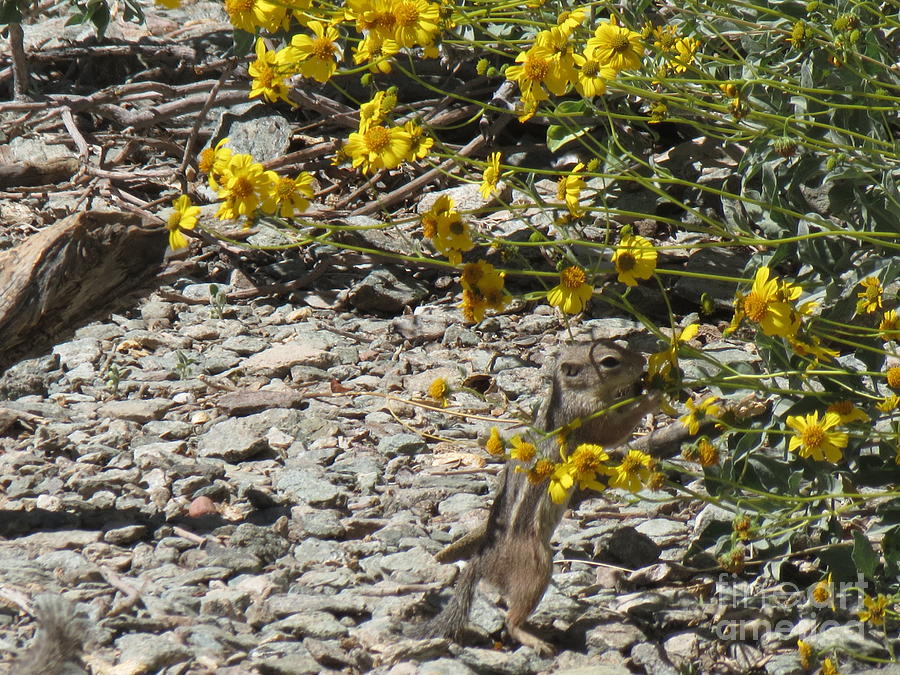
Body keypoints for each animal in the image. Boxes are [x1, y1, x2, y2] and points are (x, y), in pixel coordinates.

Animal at [422, 339, 661, 654]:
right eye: (610, 361)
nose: (642, 362)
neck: (569, 393)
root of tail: (481, 560)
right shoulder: (588, 416)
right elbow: (613, 432)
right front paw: (651, 396)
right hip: (536, 568)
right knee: (512, 618)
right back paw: (536, 641)